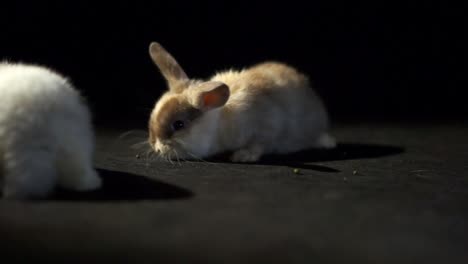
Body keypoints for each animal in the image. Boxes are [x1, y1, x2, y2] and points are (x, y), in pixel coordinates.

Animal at [148, 42, 334, 162]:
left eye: (178, 125)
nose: (157, 148)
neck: (219, 123)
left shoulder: (267, 127)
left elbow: (260, 145)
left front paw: (242, 156)